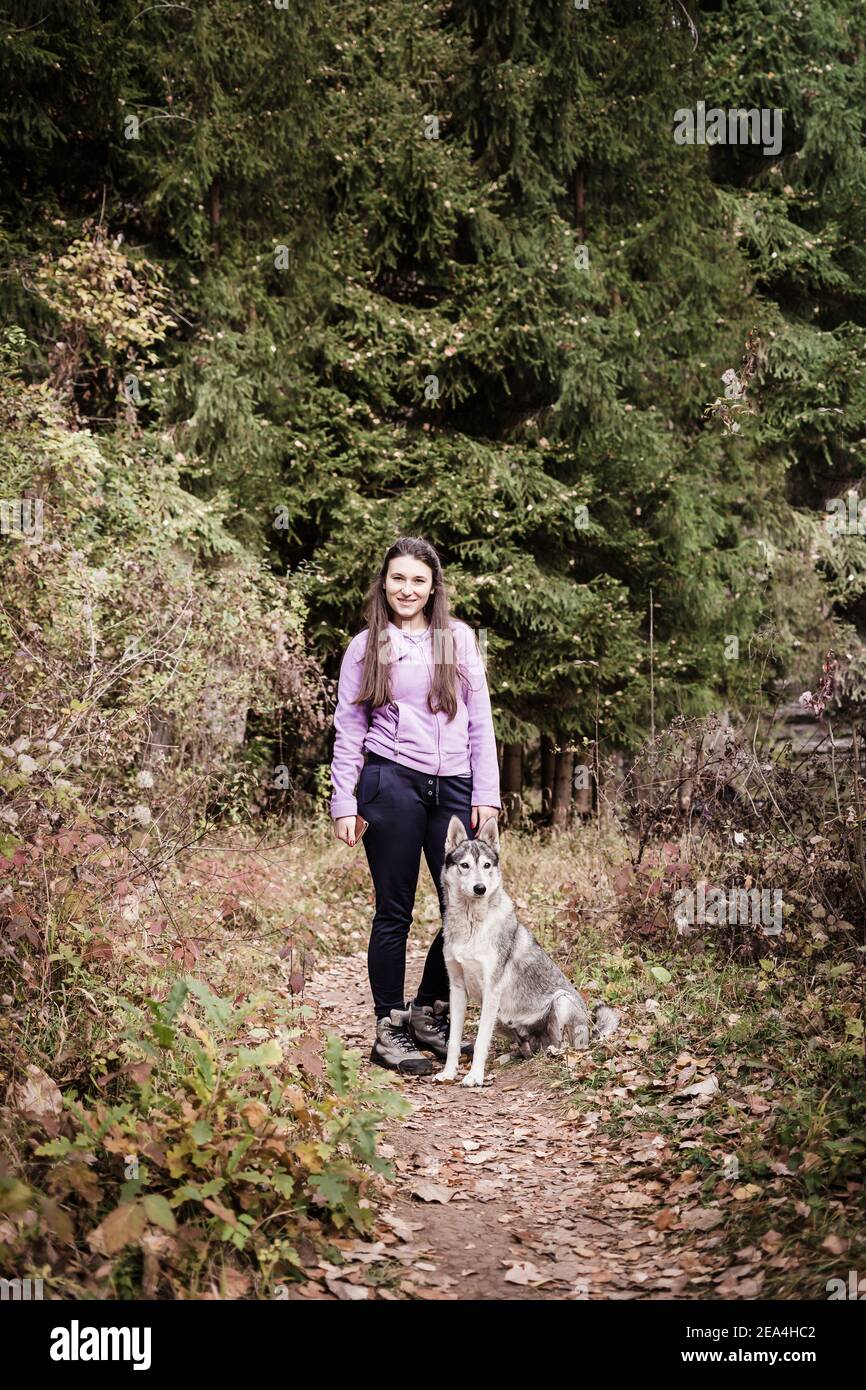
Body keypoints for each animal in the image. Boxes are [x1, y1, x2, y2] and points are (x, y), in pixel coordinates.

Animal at [436, 811, 619, 1084]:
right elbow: (453, 1042)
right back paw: (513, 1056)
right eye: (465, 865)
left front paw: (475, 1077)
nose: (480, 888)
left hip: (560, 1001)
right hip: (504, 1020)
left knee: (561, 1046)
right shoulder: (457, 989)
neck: (470, 924)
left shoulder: (491, 990)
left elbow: (479, 1042)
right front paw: (449, 1073)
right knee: (527, 1049)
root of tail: (591, 1029)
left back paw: (554, 1053)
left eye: (486, 865)